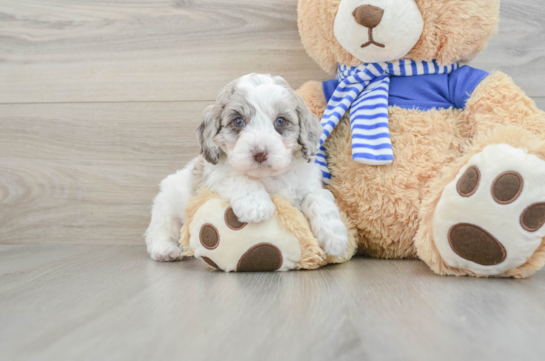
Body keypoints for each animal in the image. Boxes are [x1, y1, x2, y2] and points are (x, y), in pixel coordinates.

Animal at [144, 73, 348, 262]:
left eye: (280, 121)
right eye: (238, 121)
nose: (260, 153)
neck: (269, 176)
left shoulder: (308, 184)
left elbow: (318, 198)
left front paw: (335, 237)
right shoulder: (215, 175)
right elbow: (238, 177)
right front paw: (256, 205)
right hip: (166, 206)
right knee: (159, 231)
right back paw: (165, 250)